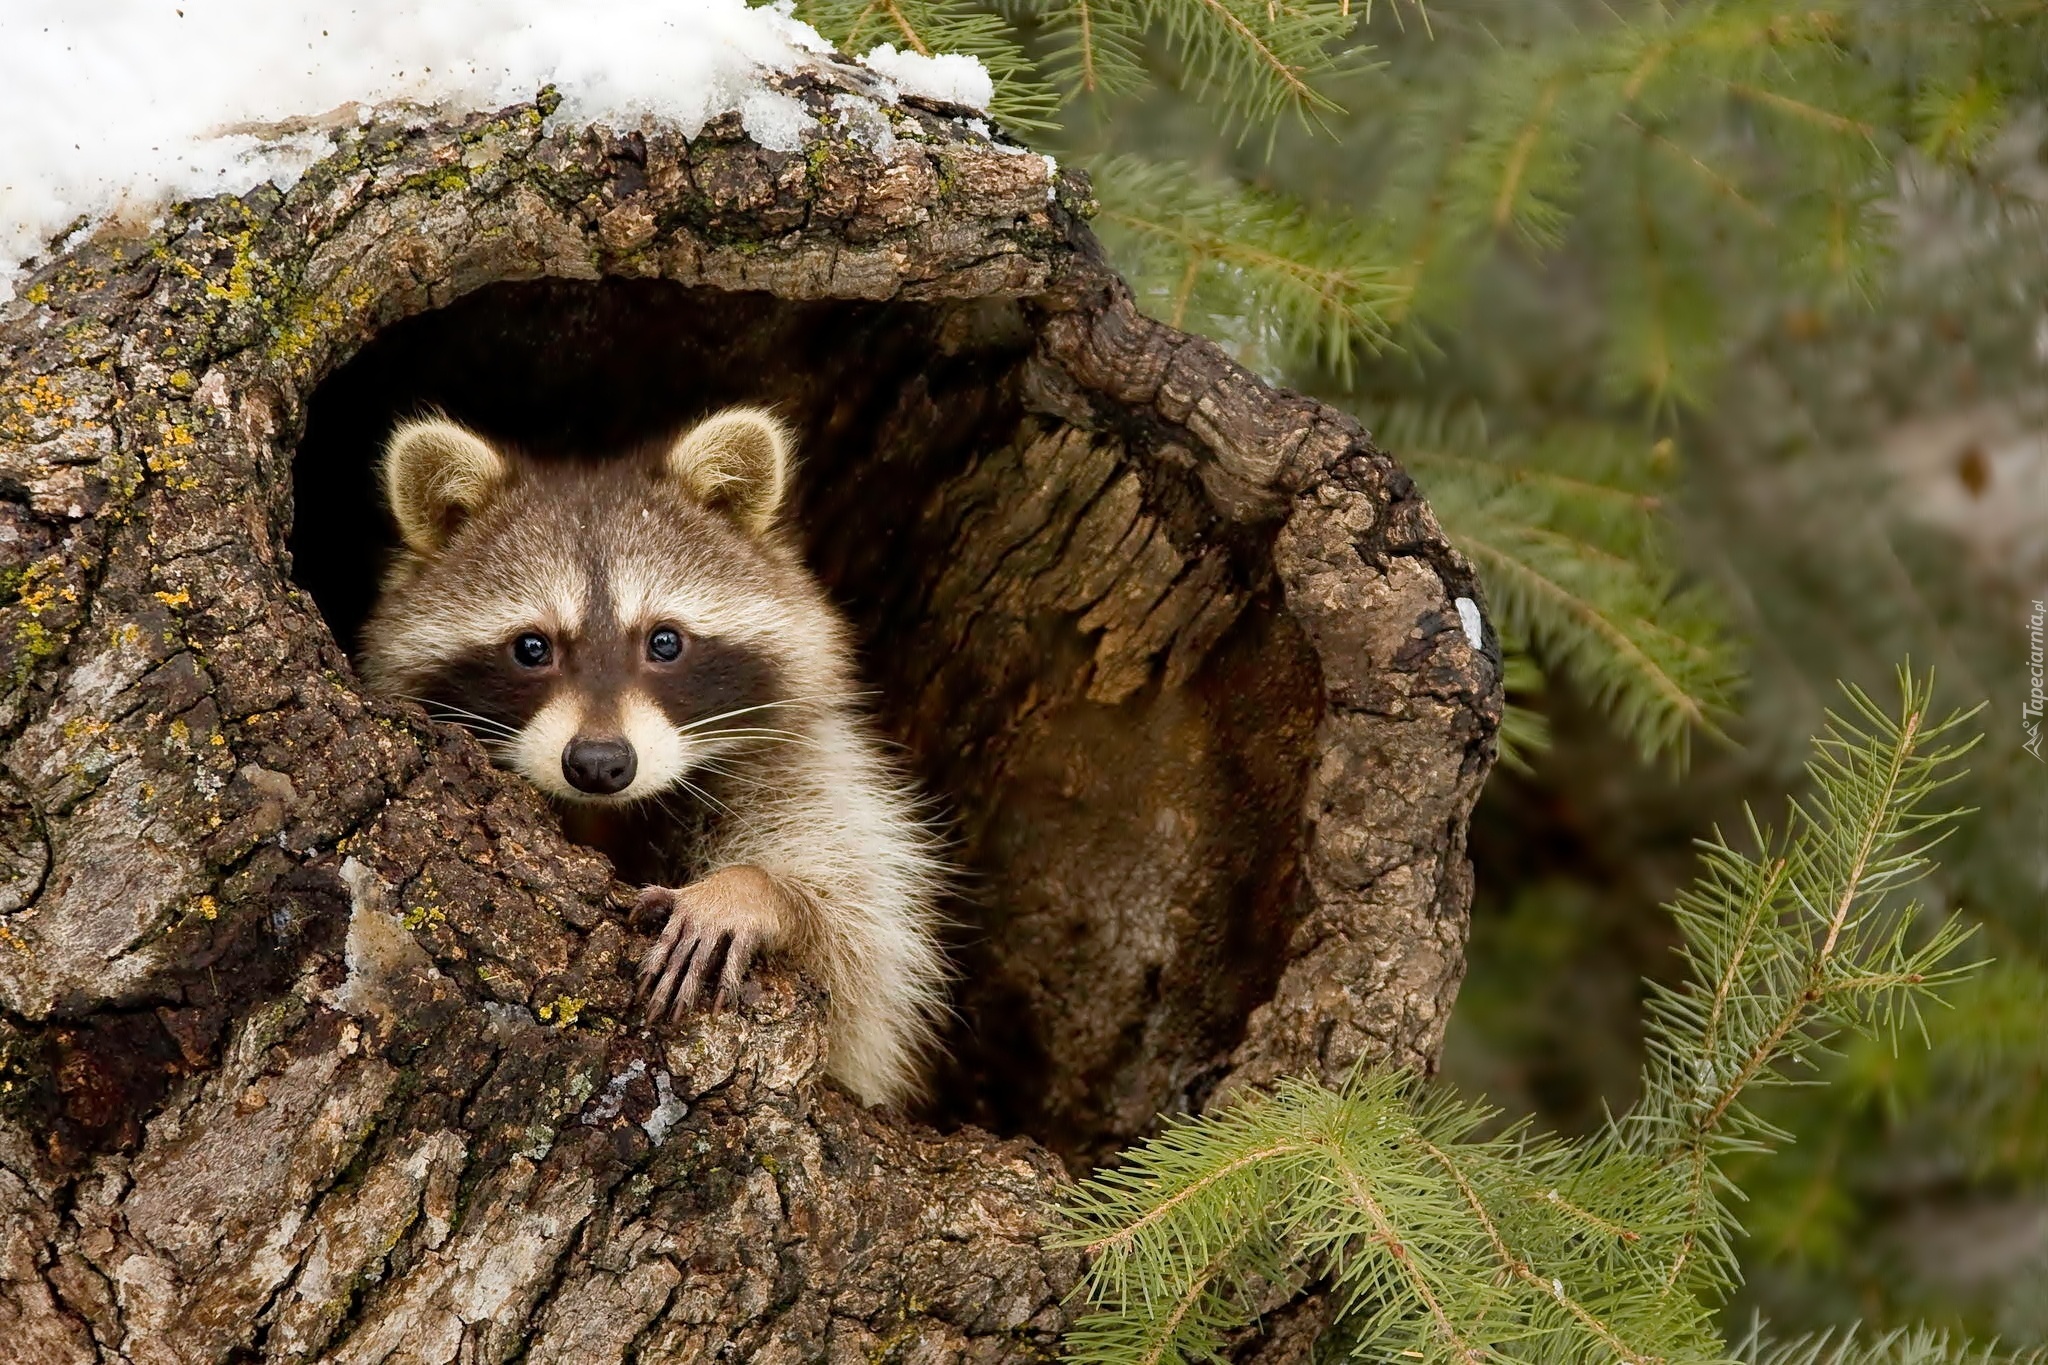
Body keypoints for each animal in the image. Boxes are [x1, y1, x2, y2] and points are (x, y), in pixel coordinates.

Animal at [356, 409, 946, 1113]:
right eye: (532, 648)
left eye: (664, 641)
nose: (598, 763)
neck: (608, 812)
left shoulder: (803, 763)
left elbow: (860, 945)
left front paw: (753, 889)